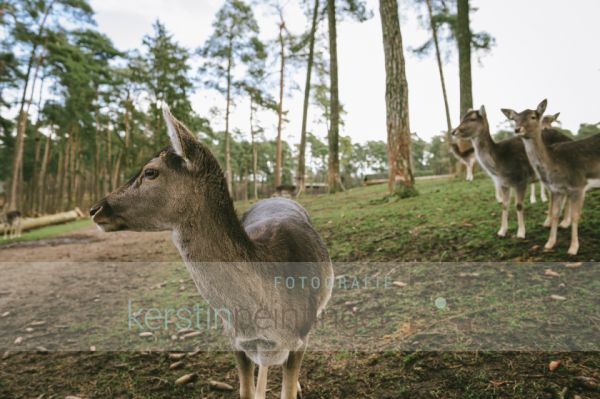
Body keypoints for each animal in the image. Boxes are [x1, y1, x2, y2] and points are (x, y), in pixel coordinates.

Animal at [89, 107, 332, 399]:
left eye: (150, 171)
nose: (95, 209)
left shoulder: (301, 336)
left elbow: (287, 390)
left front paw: (292, 386)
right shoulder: (236, 340)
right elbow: (247, 391)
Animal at [502, 100, 600, 256]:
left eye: (533, 116)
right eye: (515, 118)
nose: (517, 129)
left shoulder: (578, 186)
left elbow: (575, 216)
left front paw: (573, 249)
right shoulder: (557, 190)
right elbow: (554, 213)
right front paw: (549, 244)